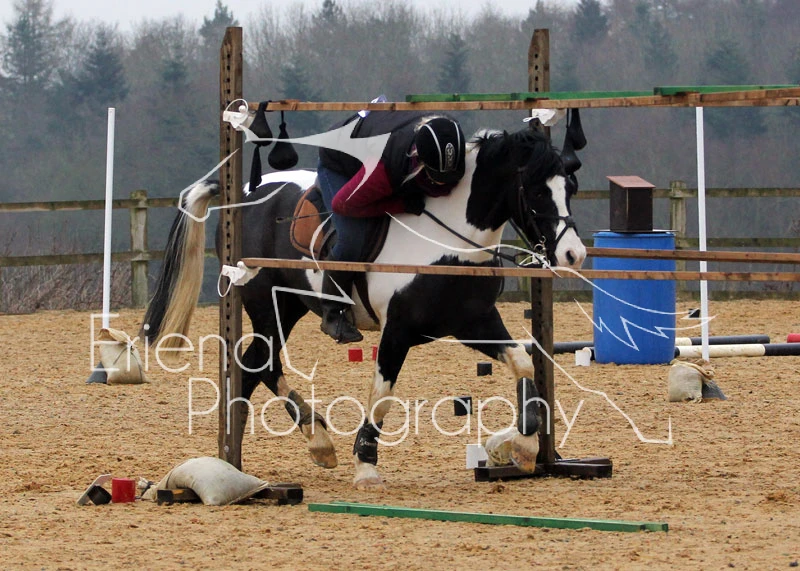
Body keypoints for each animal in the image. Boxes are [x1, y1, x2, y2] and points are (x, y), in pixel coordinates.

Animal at [142, 124, 586, 489]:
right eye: (536, 190)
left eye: (570, 188)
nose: (573, 254)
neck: (448, 244)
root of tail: (244, 193)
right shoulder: (398, 330)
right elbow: (383, 393)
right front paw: (366, 464)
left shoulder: (473, 322)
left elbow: (522, 362)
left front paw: (523, 445)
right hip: (269, 305)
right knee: (263, 363)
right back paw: (316, 441)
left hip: (288, 307)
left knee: (253, 366)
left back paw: (256, 453)